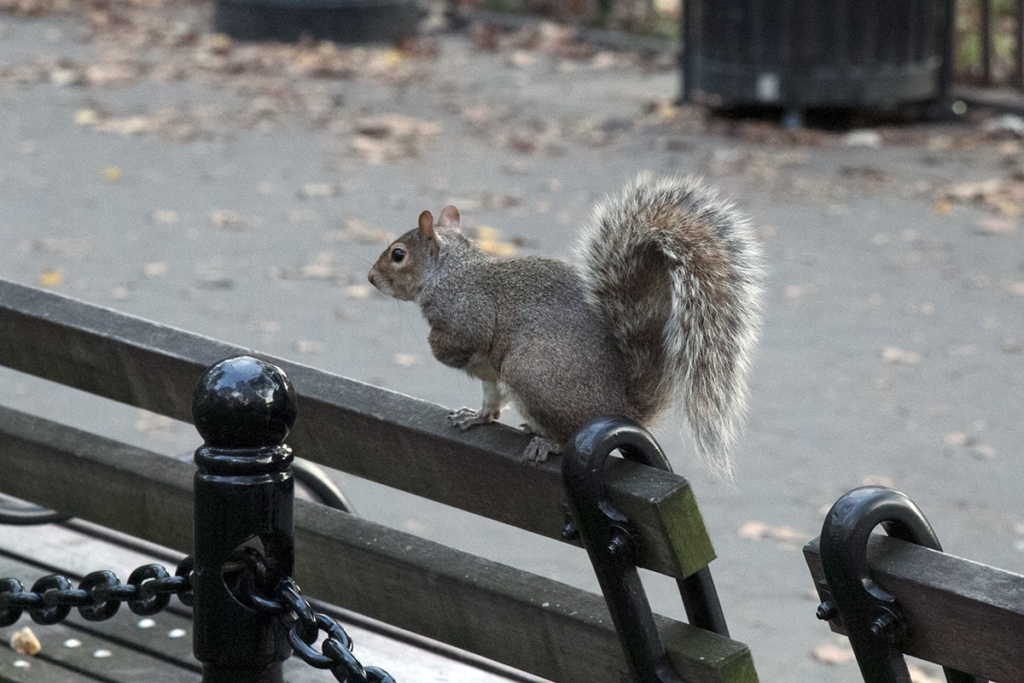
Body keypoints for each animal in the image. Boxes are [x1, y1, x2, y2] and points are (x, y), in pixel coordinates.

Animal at [368, 175, 763, 478]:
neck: (450, 273)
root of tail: (622, 409)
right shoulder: (489, 376)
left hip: (528, 371)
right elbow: (491, 403)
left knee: (566, 433)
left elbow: (458, 343)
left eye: (398, 255)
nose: (371, 278)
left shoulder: (468, 316)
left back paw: (548, 442)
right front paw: (475, 417)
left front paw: (434, 344)